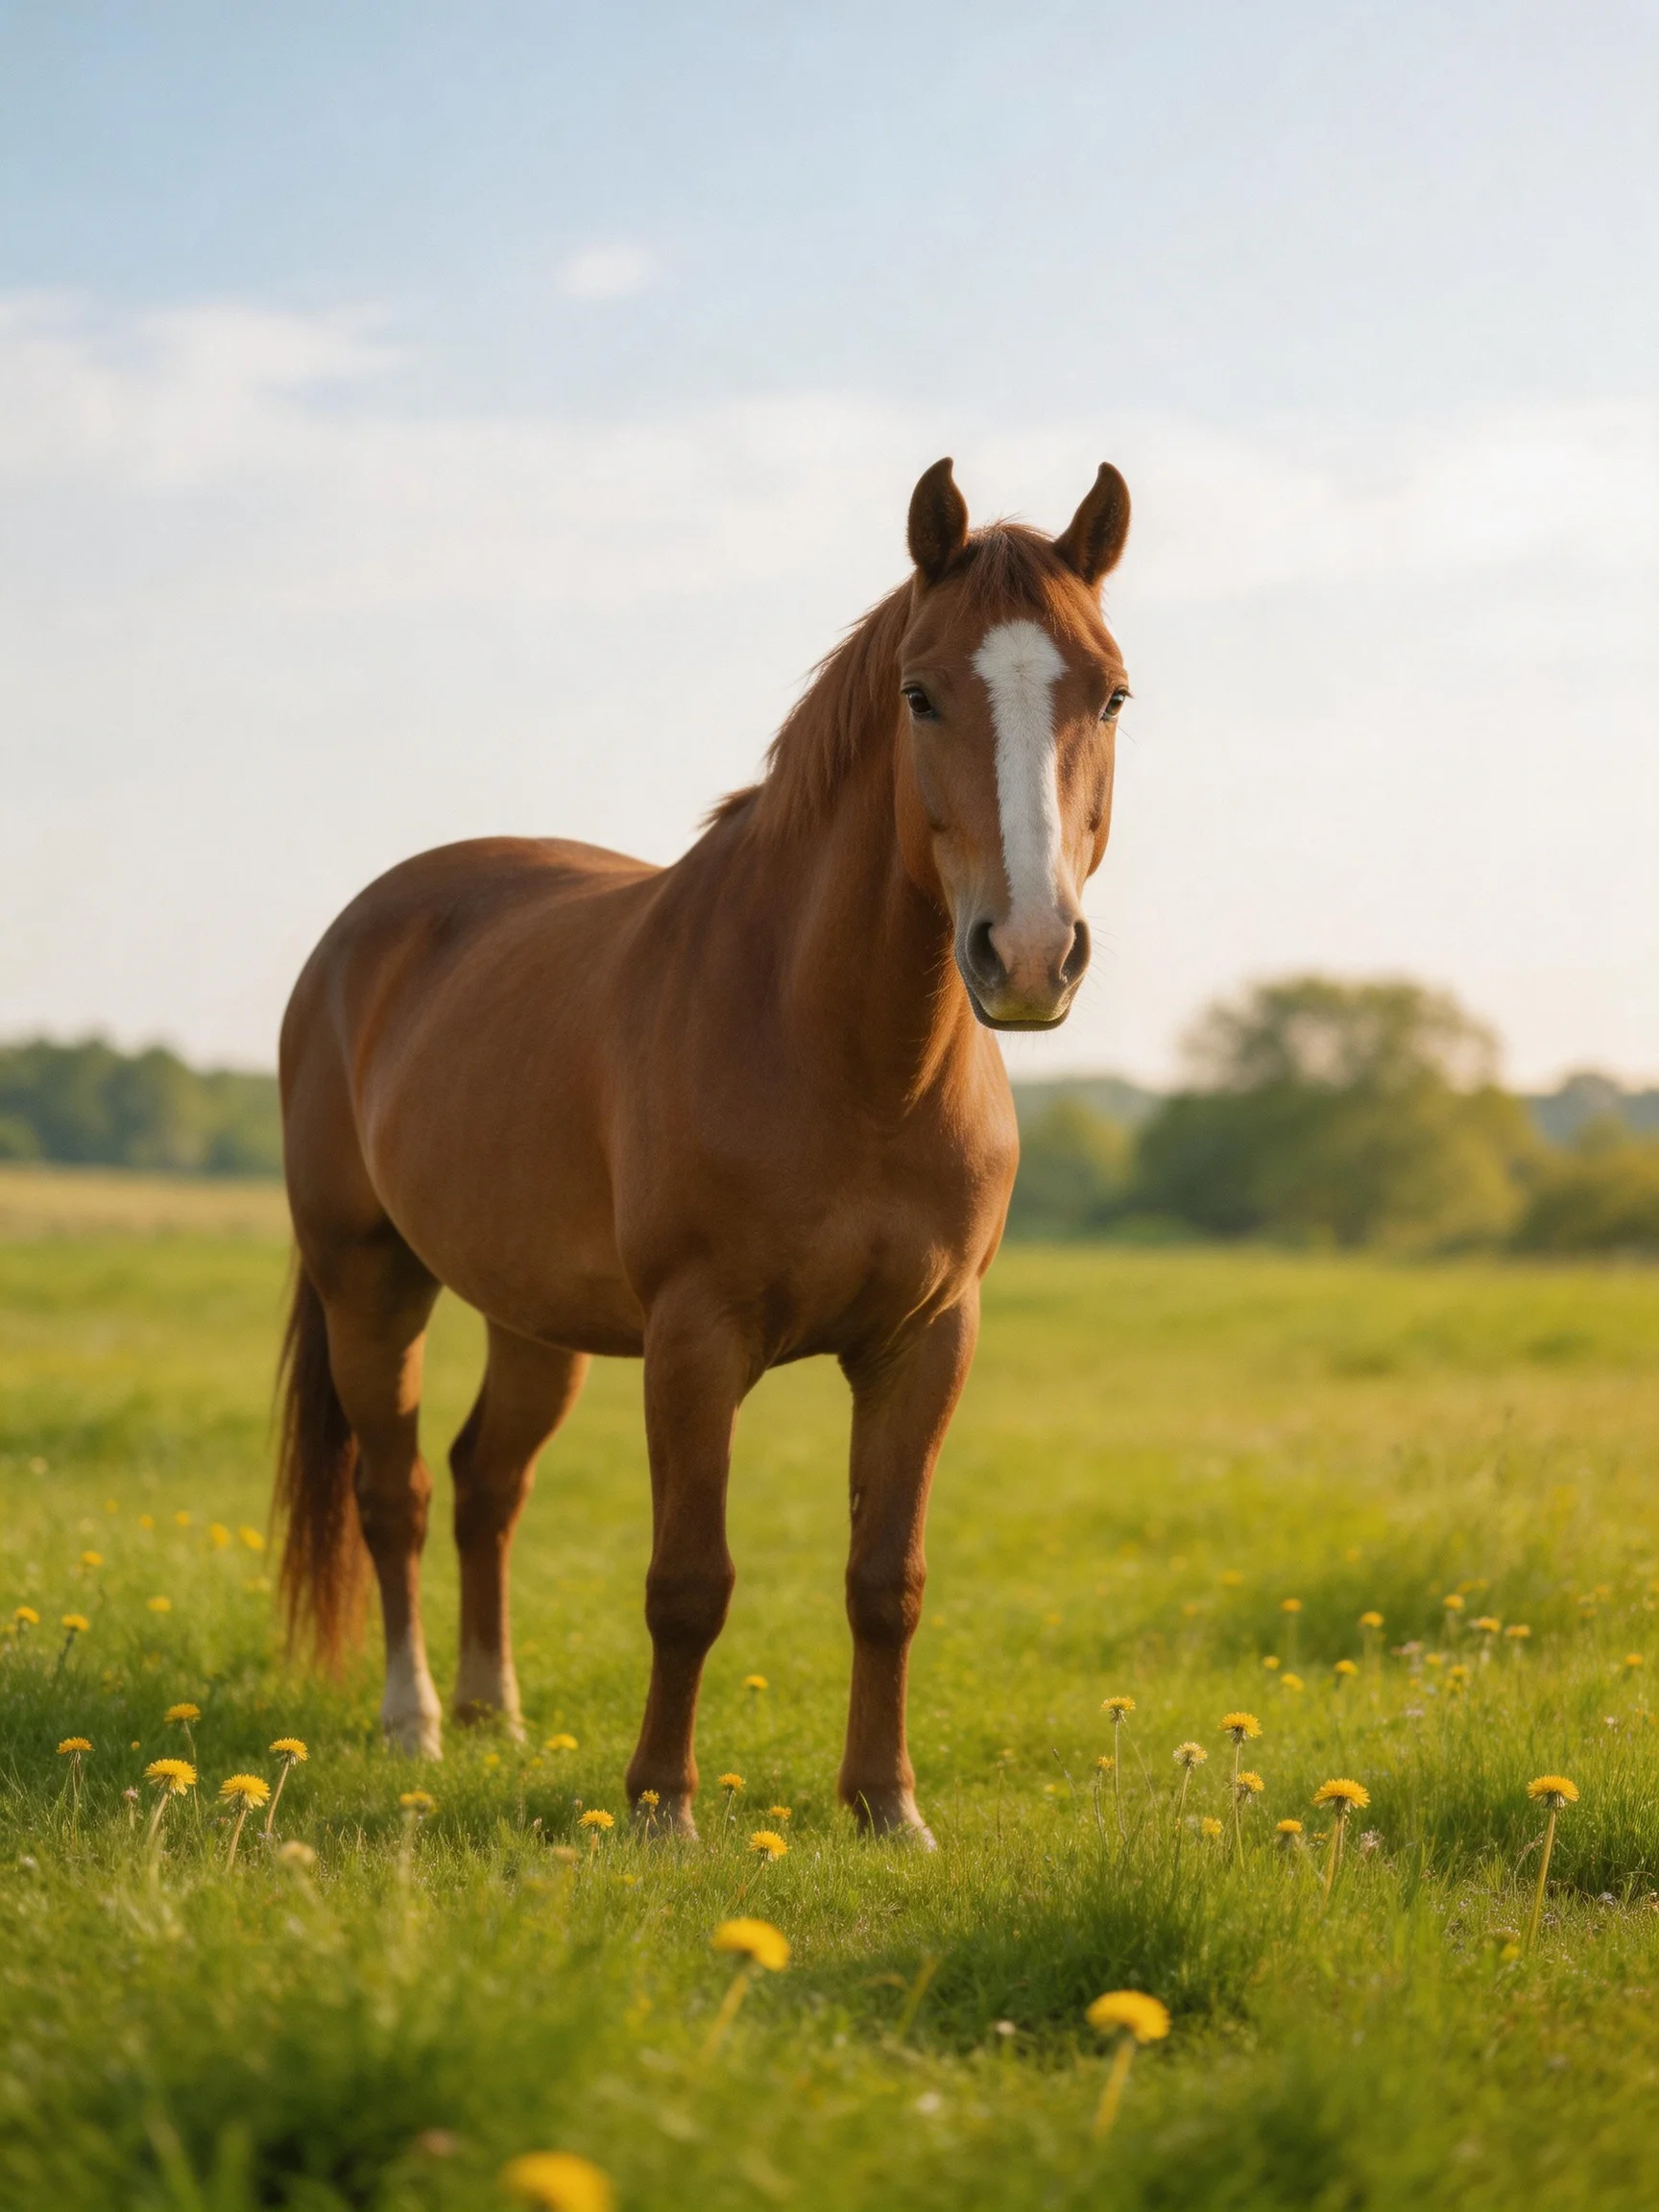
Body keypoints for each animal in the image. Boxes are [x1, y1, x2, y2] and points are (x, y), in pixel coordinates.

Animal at [274, 455, 1132, 1840]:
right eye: (920, 693)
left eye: (1108, 692)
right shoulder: (695, 1337)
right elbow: (688, 1580)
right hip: (371, 1285)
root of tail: (363, 929)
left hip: (535, 1321)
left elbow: (886, 1578)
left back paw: (493, 1710)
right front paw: (662, 1808)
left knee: (484, 1485)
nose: (1030, 954)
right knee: (394, 1494)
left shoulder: (927, 1341)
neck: (845, 1057)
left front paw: (886, 1805)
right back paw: (417, 1723)